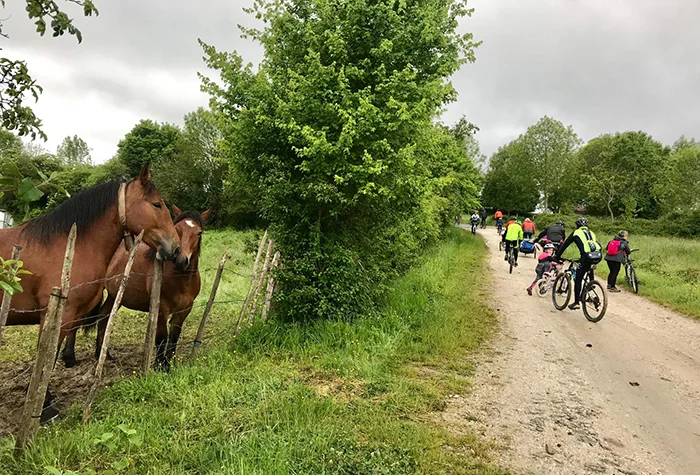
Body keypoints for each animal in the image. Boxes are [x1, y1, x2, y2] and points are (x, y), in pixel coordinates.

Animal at [0, 165, 180, 422]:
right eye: (157, 204)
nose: (175, 248)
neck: (66, 246)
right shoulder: (57, 317)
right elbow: (45, 362)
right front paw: (45, 408)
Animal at [61, 207, 208, 370]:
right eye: (177, 229)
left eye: (199, 233)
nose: (181, 261)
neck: (181, 279)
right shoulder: (161, 309)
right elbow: (161, 337)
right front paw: (160, 366)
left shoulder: (185, 309)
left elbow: (174, 337)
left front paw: (170, 363)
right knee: (76, 322)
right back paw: (70, 358)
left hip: (114, 295)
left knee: (104, 316)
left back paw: (103, 354)